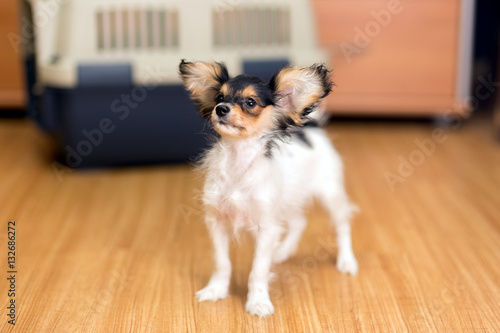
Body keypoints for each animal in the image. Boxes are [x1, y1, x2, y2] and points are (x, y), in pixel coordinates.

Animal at [178, 59, 358, 316]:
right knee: (299, 222)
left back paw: (346, 261)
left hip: (329, 194)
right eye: (219, 97)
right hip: (289, 199)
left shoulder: (266, 227)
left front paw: (258, 302)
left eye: (250, 102)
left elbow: (258, 270)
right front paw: (216, 290)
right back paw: (282, 252)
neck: (238, 162)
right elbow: (222, 262)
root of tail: (312, 128)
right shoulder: (217, 222)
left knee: (342, 225)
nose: (221, 109)